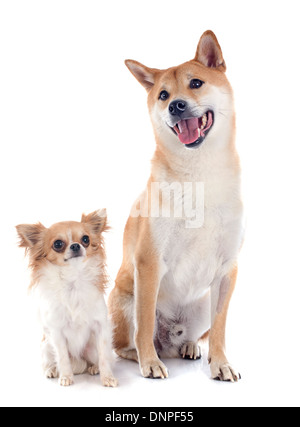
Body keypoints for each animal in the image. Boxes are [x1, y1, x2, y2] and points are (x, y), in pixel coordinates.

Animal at [15, 211, 117, 388]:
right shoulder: (56, 332)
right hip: (46, 346)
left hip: (90, 348)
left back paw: (93, 368)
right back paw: (52, 371)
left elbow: (104, 356)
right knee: (51, 361)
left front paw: (107, 378)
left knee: (94, 359)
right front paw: (66, 377)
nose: (76, 245)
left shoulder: (100, 327)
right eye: (58, 244)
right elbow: (62, 357)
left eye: (85, 239)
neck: (73, 280)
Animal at [108, 31, 244, 382]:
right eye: (163, 94)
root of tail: (169, 338)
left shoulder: (226, 269)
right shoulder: (149, 262)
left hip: (201, 305)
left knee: (193, 337)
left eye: (196, 83)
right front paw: (149, 362)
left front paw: (221, 363)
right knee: (127, 340)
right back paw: (143, 355)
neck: (200, 174)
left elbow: (220, 329)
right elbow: (143, 326)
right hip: (125, 297)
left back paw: (189, 347)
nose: (176, 105)